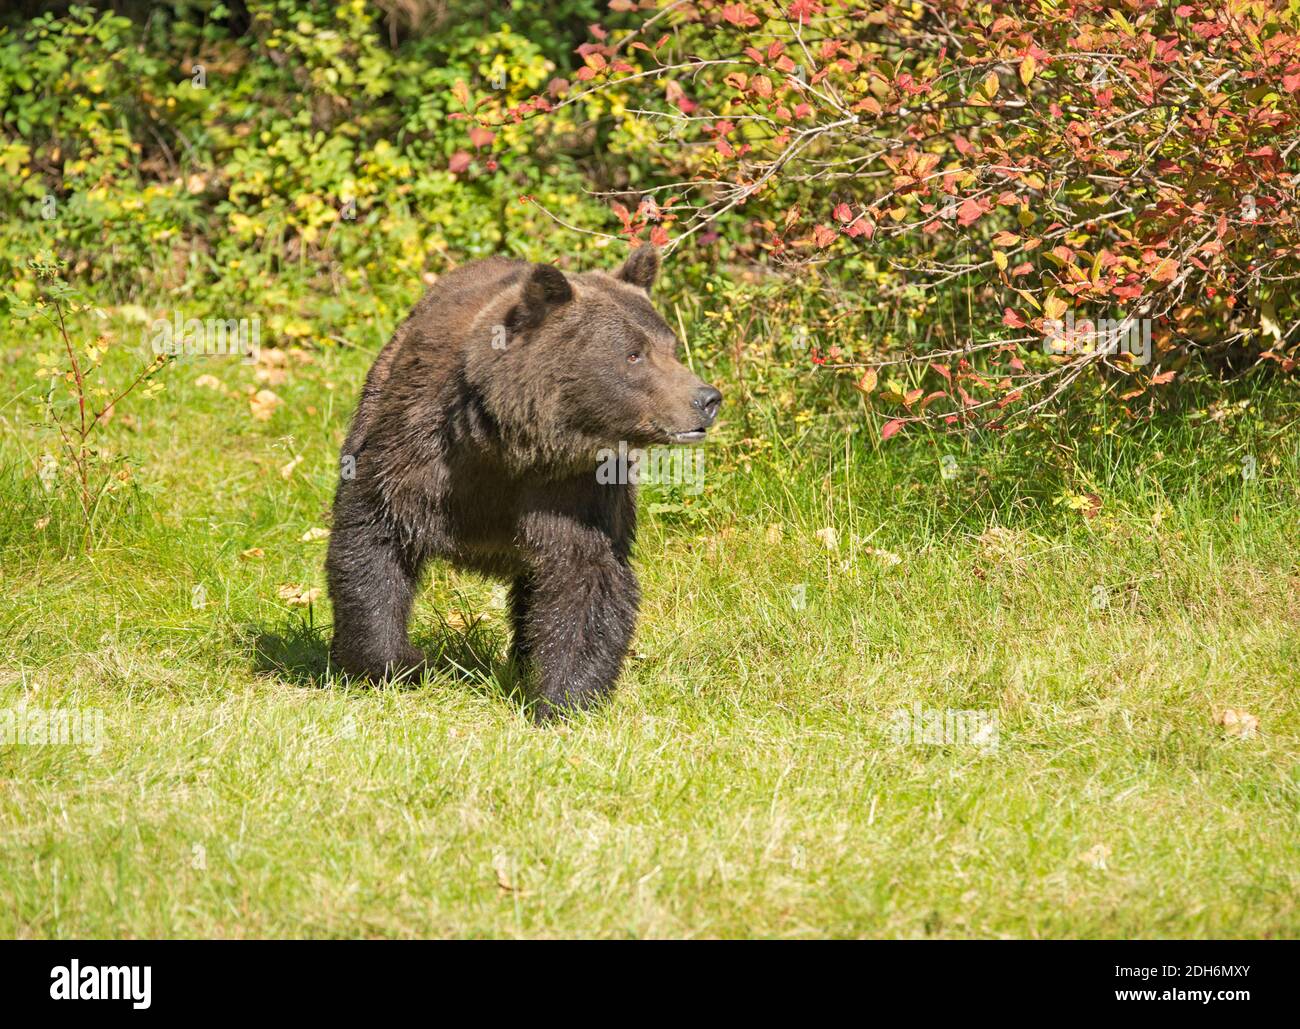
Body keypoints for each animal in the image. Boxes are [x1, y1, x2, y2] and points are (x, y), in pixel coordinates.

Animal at [325, 248, 722, 717]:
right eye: (634, 354)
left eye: (672, 347)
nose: (707, 399)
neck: (505, 445)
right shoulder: (416, 452)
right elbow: (374, 535)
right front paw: (395, 665)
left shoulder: (576, 489)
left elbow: (585, 576)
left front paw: (564, 699)